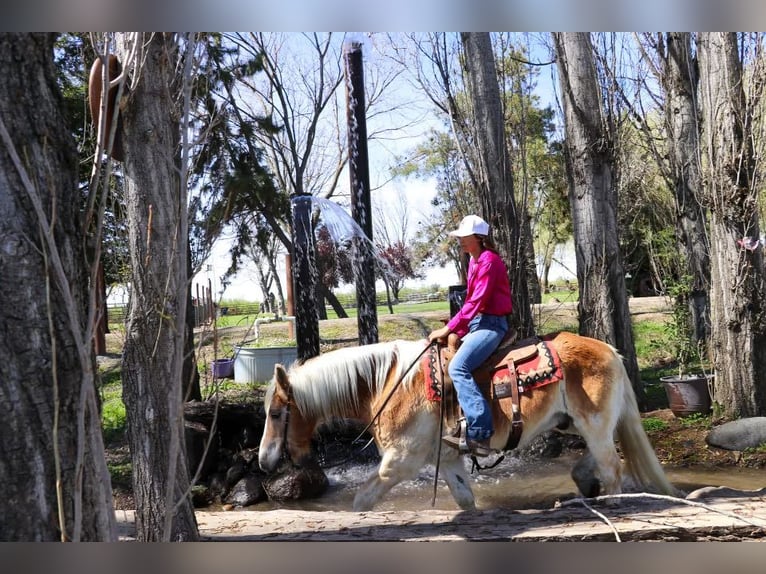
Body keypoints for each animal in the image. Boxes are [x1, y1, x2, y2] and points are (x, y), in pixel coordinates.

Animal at [258, 332, 680, 512]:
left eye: (276, 413)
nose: (263, 461)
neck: (389, 384)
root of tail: (607, 348)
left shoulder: (400, 462)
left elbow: (360, 501)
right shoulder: (448, 459)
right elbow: (464, 499)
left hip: (593, 423)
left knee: (612, 468)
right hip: (576, 424)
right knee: (596, 461)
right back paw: (586, 484)